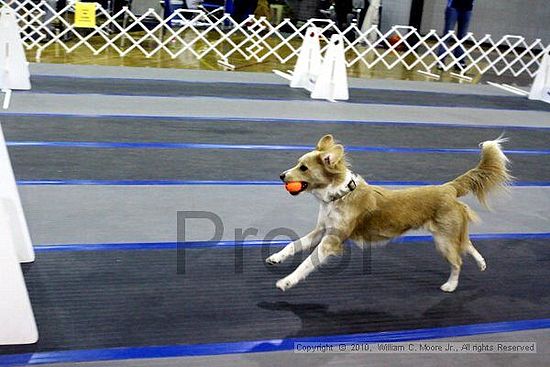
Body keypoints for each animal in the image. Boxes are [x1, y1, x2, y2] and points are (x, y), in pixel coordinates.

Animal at [268, 135, 512, 294]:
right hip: (451, 234)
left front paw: (287, 281)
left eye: (303, 168)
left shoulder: (331, 241)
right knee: (467, 244)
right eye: (298, 164)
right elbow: (294, 245)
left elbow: (307, 263)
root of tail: (448, 188)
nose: (281, 175)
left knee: (458, 261)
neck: (340, 195)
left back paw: (451, 285)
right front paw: (276, 257)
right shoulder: (321, 231)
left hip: (443, 240)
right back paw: (481, 263)